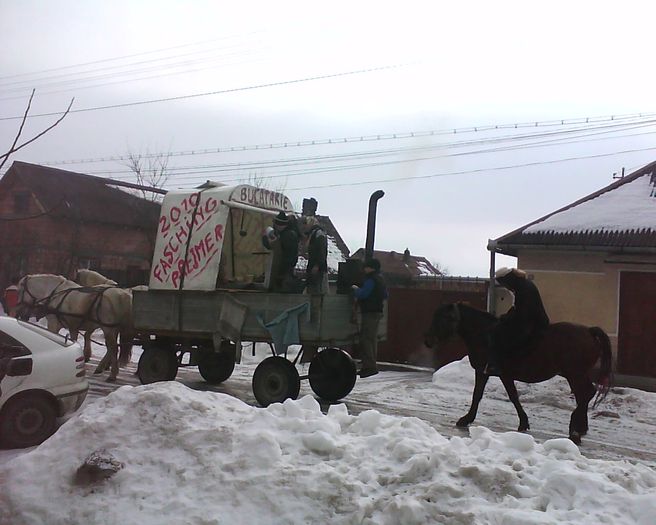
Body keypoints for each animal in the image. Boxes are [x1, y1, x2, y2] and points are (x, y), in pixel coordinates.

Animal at [422, 302, 612, 442]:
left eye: (445, 317)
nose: (428, 340)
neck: (485, 335)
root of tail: (589, 331)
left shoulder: (498, 373)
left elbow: (509, 396)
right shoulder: (488, 373)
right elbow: (481, 394)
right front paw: (468, 418)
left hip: (574, 373)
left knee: (586, 393)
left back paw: (574, 430)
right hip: (576, 374)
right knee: (584, 395)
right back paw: (580, 427)